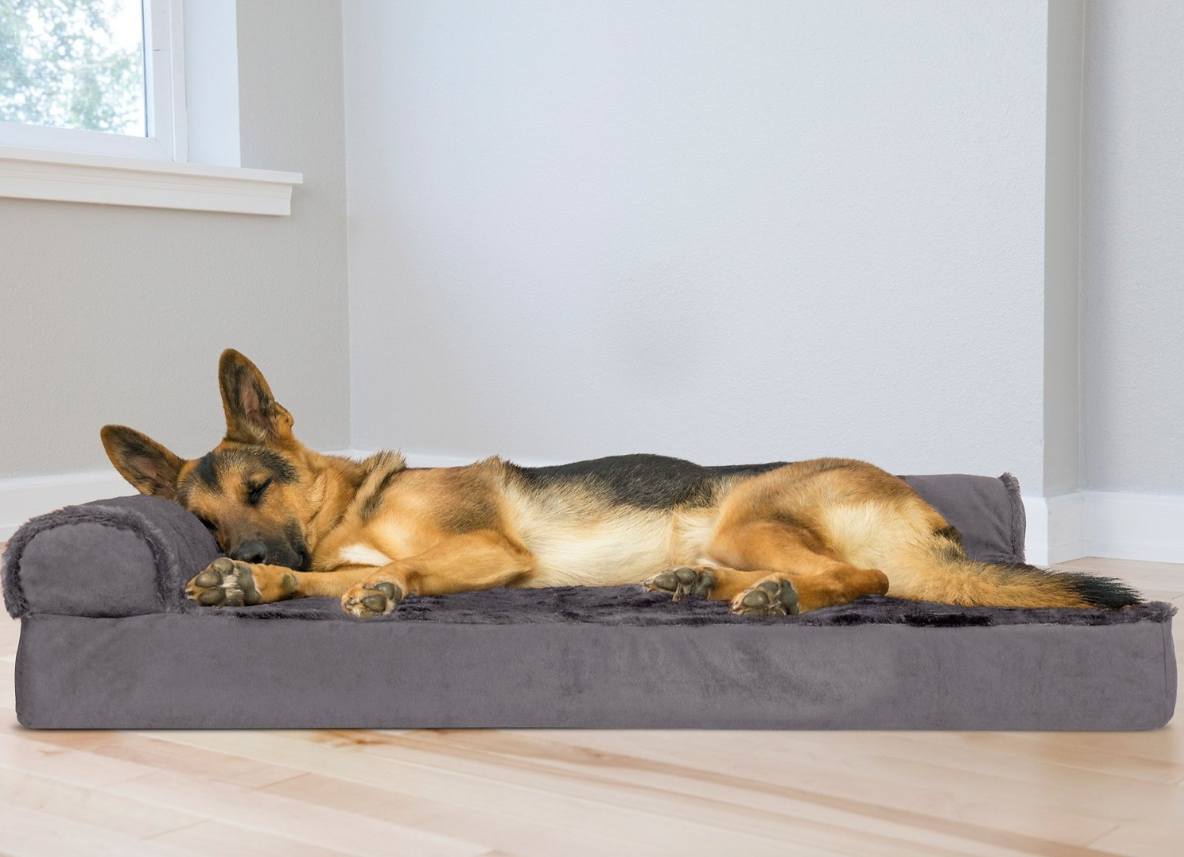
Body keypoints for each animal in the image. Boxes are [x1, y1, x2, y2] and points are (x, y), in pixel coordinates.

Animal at [99, 350, 1141, 619]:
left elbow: (363, 573)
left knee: (865, 582)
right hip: (740, 531)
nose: (239, 547)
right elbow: (336, 573)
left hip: (753, 510)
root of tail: (934, 523)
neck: (356, 501)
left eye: (258, 487)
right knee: (839, 580)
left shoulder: (491, 550)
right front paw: (257, 578)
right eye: (202, 516)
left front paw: (320, 582)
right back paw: (704, 586)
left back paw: (755, 593)